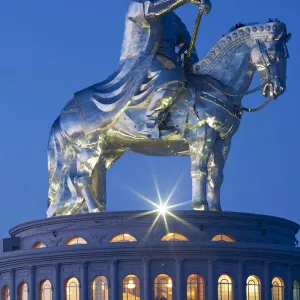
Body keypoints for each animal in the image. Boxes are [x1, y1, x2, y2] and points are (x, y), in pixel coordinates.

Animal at [47, 21, 290, 218]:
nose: (277, 89)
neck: (218, 85)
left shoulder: (223, 142)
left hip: (109, 150)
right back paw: (95, 210)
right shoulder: (201, 135)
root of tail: (65, 111)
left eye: (286, 56)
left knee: (85, 179)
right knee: (80, 178)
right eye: (275, 56)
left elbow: (216, 175)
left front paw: (216, 208)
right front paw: (200, 205)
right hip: (90, 147)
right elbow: (199, 169)